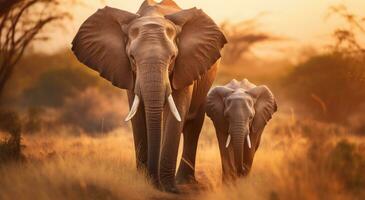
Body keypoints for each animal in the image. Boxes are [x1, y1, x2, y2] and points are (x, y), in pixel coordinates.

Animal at [70, 0, 225, 194]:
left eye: (173, 57)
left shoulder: (185, 66)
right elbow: (137, 115)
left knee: (193, 124)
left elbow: (175, 113)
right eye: (132, 57)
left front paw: (169, 188)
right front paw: (145, 181)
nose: (155, 183)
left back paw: (185, 182)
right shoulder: (128, 73)